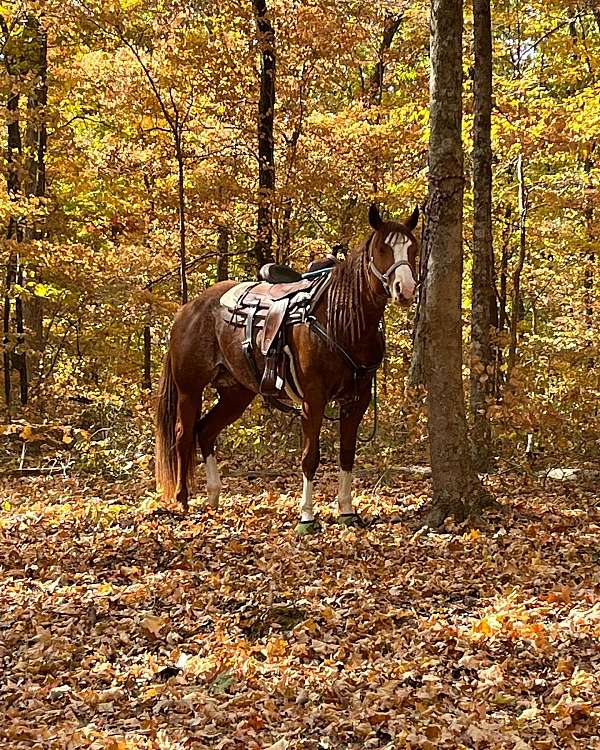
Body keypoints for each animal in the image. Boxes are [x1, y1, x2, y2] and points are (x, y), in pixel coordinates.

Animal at [155, 206, 418, 532]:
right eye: (382, 248)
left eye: (412, 248)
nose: (405, 289)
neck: (341, 320)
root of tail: (187, 309)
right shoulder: (313, 400)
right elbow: (310, 457)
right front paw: (306, 516)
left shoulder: (356, 401)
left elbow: (346, 454)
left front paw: (346, 511)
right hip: (189, 389)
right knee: (183, 434)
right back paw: (182, 499)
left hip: (236, 394)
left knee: (205, 431)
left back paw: (214, 497)